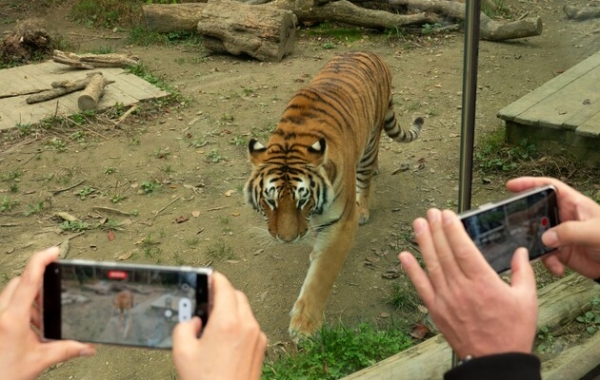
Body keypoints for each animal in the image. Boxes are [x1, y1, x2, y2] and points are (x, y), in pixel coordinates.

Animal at [244, 51, 422, 338]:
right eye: (270, 201)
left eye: (302, 200)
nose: (286, 240)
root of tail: (370, 52)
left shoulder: (341, 223)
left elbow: (321, 275)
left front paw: (304, 327)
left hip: (370, 142)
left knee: (365, 176)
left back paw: (364, 205)